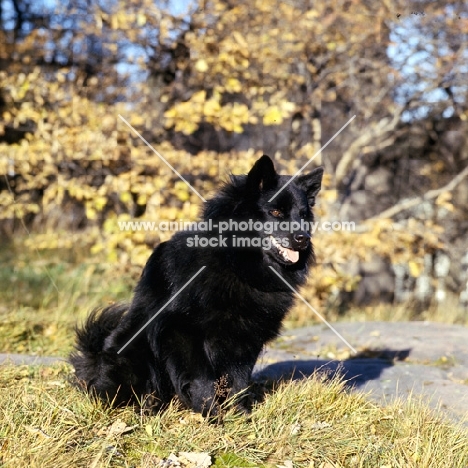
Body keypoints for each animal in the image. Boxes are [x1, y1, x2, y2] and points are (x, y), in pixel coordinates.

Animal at [71, 155, 324, 414]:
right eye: (275, 211)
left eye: (303, 215)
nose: (303, 238)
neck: (235, 265)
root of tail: (93, 361)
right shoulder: (181, 331)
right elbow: (203, 379)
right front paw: (211, 414)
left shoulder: (245, 340)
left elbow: (238, 381)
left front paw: (240, 414)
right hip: (132, 353)